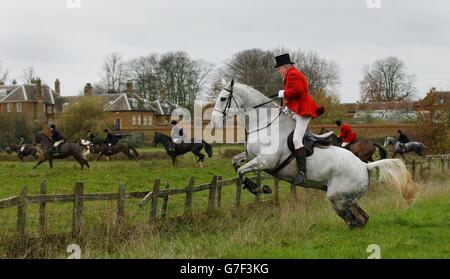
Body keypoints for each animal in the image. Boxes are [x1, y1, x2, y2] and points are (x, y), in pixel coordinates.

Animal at [211, 80, 418, 231]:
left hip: (337, 198)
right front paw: (256, 187)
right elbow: (235, 163)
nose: (214, 122)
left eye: (223, 98)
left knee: (354, 221)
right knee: (362, 218)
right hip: (345, 198)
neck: (265, 124)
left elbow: (241, 172)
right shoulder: (250, 156)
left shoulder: (266, 161)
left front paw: (259, 188)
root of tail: (363, 166)